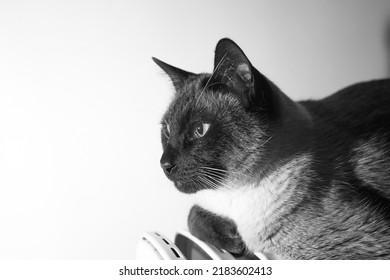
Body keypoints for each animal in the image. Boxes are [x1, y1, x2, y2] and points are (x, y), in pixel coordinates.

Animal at [152, 38, 390, 260]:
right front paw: (235, 241)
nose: (164, 164)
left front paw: (240, 245)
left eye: (200, 130)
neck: (236, 195)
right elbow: (192, 214)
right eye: (167, 130)